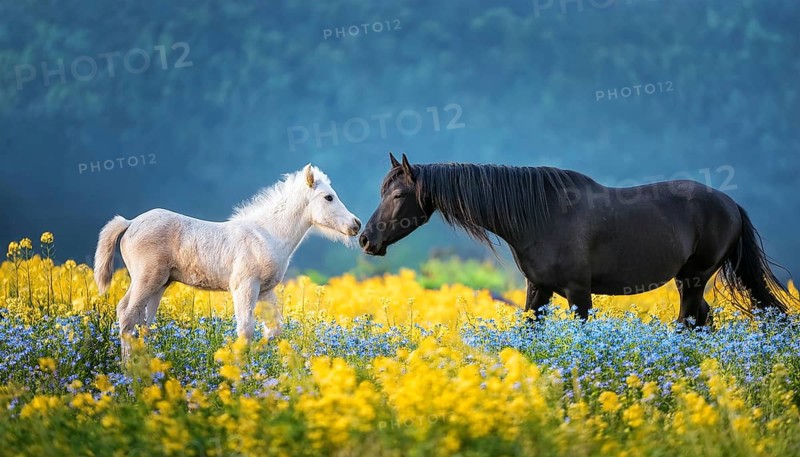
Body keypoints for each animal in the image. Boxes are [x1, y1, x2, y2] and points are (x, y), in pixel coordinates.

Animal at [95, 164, 361, 358]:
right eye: (328, 197)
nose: (356, 224)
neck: (267, 234)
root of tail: (129, 223)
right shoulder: (245, 286)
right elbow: (246, 329)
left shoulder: (266, 290)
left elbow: (273, 330)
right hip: (147, 279)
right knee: (127, 315)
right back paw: (130, 373)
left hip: (160, 284)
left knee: (143, 324)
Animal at [359, 153, 797, 325]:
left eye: (397, 196)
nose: (365, 239)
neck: (540, 217)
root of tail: (730, 204)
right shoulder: (538, 290)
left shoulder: (578, 295)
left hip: (693, 278)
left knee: (689, 322)